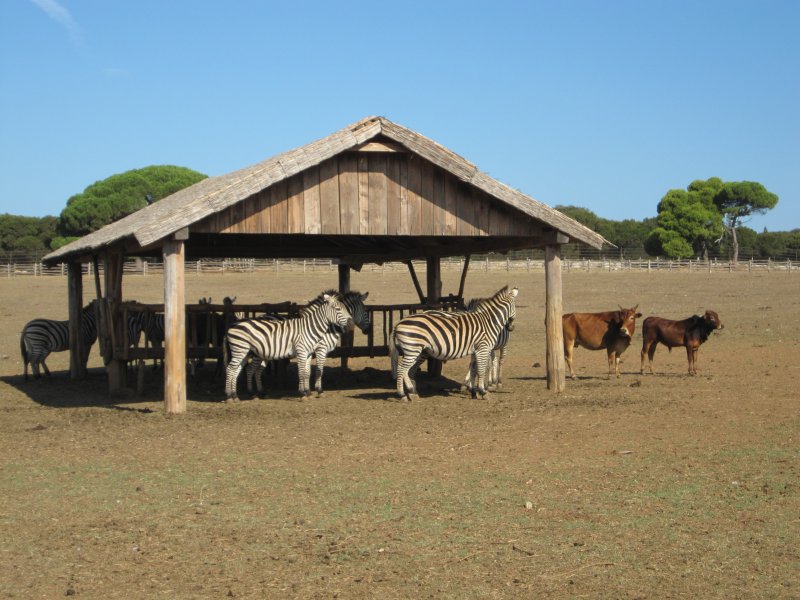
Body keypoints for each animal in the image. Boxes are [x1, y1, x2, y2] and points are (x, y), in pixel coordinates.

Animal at [223, 290, 352, 400]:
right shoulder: (303, 351)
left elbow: (307, 372)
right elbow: (303, 372)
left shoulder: (309, 353)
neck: (309, 327)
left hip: (245, 352)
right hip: (241, 350)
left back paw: (236, 396)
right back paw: (229, 396)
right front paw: (303, 393)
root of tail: (232, 325)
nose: (350, 323)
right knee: (231, 369)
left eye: (346, 308)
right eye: (338, 309)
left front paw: (308, 392)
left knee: (237, 370)